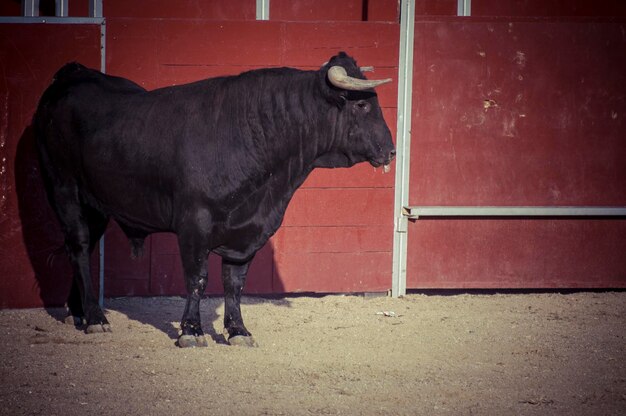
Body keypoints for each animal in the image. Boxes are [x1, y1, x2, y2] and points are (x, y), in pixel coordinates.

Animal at [34, 52, 392, 348]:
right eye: (361, 105)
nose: (391, 150)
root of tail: (74, 73)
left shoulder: (248, 230)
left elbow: (234, 283)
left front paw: (238, 331)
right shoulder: (194, 222)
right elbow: (198, 278)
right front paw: (191, 331)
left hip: (96, 205)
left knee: (84, 247)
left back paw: (80, 312)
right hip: (64, 188)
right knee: (79, 246)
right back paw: (96, 317)